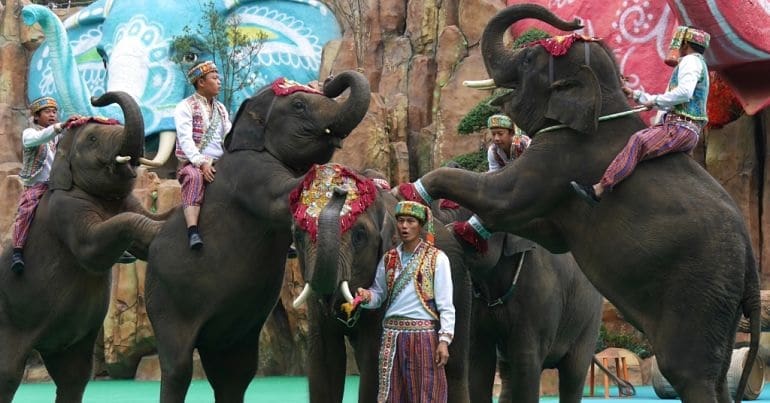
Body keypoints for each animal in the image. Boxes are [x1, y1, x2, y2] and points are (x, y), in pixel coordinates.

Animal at [0, 92, 167, 403]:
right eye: (91, 139)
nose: (95, 97)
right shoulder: (64, 210)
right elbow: (91, 249)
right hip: (9, 320)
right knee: (8, 374)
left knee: (74, 376)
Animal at [144, 70, 371, 403]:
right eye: (299, 105)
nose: (328, 79)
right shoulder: (250, 174)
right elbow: (282, 197)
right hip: (165, 299)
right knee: (178, 367)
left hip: (232, 333)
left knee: (235, 374)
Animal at [290, 167, 472, 402]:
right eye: (298, 234)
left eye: (360, 236)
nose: (340, 191)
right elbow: (324, 360)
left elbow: (374, 359)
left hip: (459, 283)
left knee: (455, 366)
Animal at [409, 4, 761, 403]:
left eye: (528, 60)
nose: (575, 20)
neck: (604, 96)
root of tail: (751, 268)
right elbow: (545, 231)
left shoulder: (562, 155)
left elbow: (504, 198)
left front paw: (413, 190)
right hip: (721, 307)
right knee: (717, 376)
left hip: (698, 295)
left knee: (688, 373)